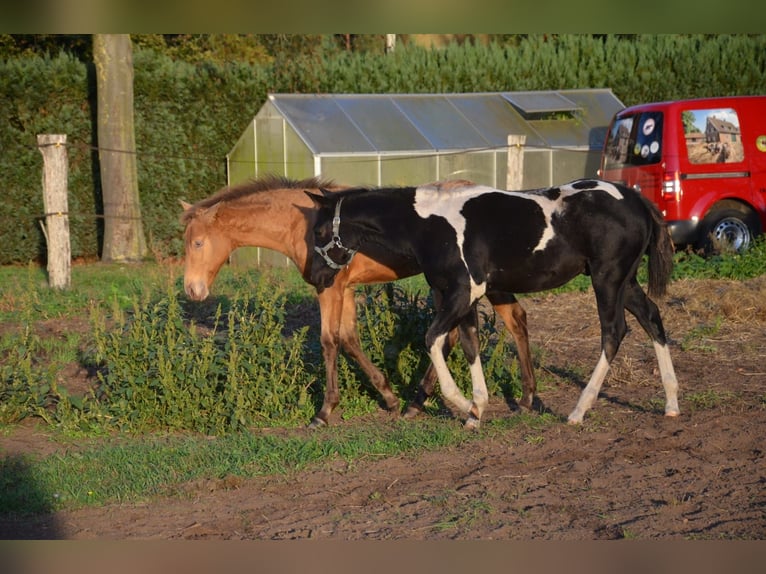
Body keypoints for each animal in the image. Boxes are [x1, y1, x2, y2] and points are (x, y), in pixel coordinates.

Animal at [180, 175, 537, 428]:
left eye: (198, 243)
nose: (192, 290)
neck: (301, 224)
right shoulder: (346, 289)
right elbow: (350, 340)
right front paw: (389, 398)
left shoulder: (329, 288)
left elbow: (329, 341)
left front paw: (323, 412)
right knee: (509, 320)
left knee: (494, 324)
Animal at [307, 178, 681, 428]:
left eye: (320, 232)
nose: (315, 277)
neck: (427, 224)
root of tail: (635, 198)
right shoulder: (455, 295)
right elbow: (468, 345)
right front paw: (476, 411)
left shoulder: (463, 291)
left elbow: (432, 339)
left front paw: (461, 402)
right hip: (625, 282)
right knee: (652, 317)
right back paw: (671, 402)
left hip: (607, 279)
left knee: (614, 331)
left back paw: (578, 410)